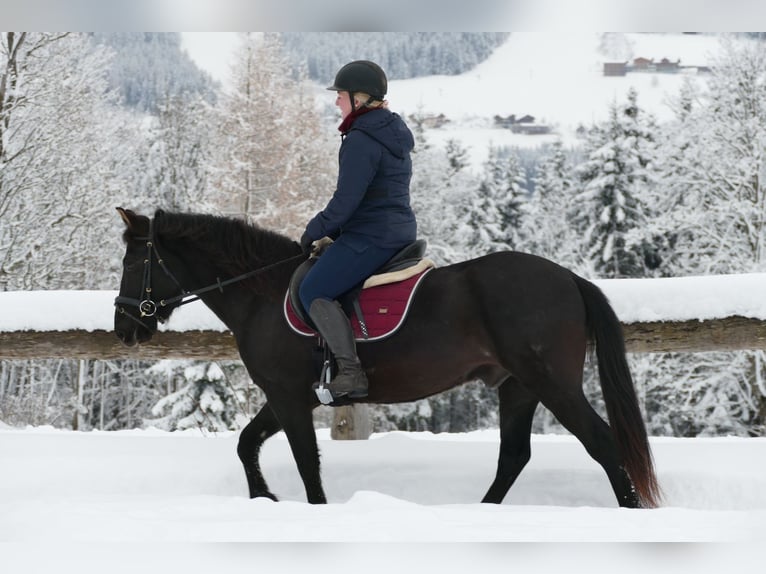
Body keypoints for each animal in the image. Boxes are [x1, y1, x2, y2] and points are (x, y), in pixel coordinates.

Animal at [115, 208, 664, 508]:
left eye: (134, 261)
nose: (125, 329)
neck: (262, 293)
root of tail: (569, 278)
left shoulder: (289, 398)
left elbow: (305, 463)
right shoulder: (286, 396)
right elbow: (247, 443)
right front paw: (264, 498)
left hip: (553, 384)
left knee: (602, 444)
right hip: (518, 386)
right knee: (513, 456)